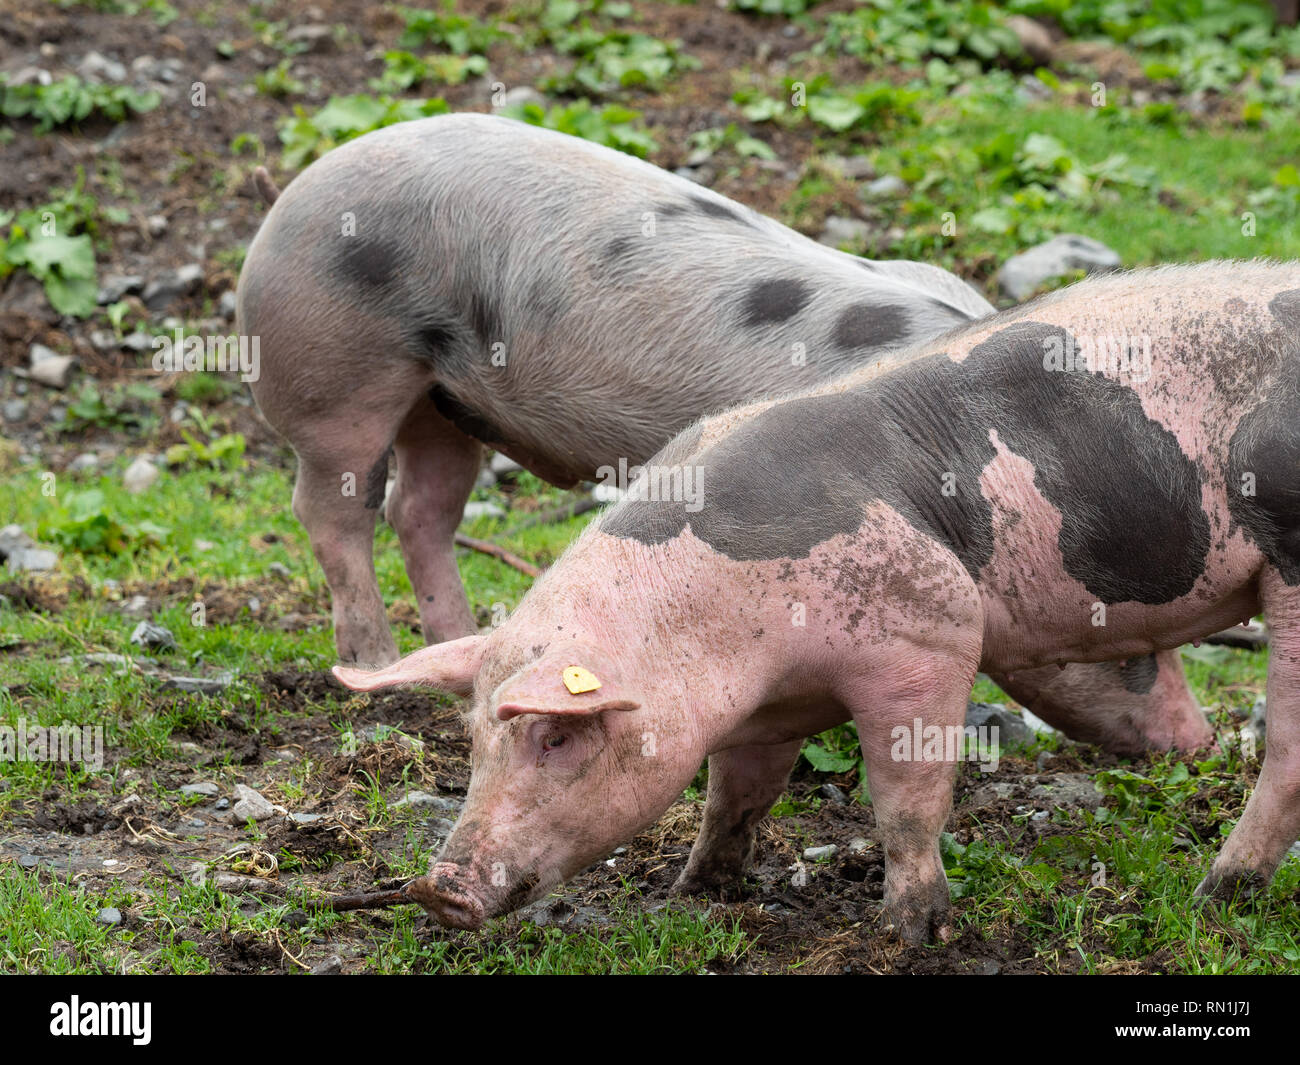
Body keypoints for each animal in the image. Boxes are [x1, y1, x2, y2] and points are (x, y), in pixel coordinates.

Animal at [338, 263, 1300, 941]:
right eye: (473, 737)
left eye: (557, 735)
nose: (439, 888)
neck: (717, 634)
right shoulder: (768, 707)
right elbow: (736, 796)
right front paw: (691, 893)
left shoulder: (929, 635)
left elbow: (906, 797)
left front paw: (912, 930)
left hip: (1291, 562)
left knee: (1286, 753)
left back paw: (1217, 896)